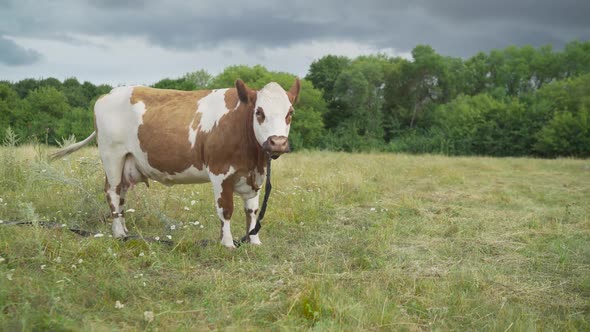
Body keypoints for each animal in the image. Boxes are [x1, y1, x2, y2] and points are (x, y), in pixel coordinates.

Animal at [51, 78, 300, 248]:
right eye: (259, 112)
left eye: (290, 112)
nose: (277, 142)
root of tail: (110, 93)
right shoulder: (220, 173)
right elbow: (226, 210)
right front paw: (228, 244)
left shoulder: (253, 176)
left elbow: (252, 210)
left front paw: (254, 241)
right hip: (112, 155)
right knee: (112, 193)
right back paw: (118, 234)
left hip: (126, 162)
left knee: (121, 196)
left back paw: (125, 231)